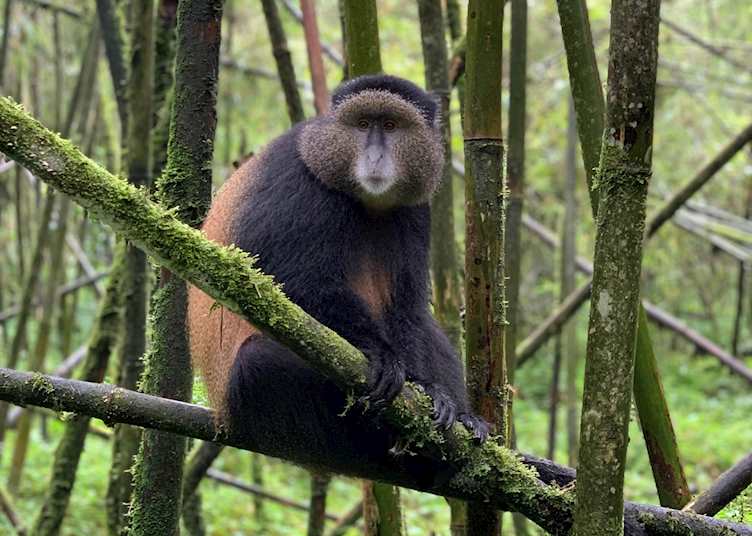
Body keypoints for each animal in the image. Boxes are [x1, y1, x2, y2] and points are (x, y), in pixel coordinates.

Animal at [187, 74, 489, 479]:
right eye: (362, 125)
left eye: (390, 126)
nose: (375, 156)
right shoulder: (298, 183)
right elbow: (276, 282)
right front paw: (381, 355)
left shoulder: (418, 209)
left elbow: (409, 308)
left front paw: (434, 392)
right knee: (257, 360)